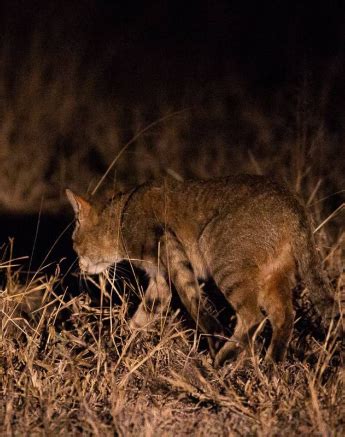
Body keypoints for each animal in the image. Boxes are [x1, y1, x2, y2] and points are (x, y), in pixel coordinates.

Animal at [65, 174, 336, 364]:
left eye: (74, 244)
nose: (79, 266)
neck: (123, 214)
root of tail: (293, 204)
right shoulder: (160, 279)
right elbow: (143, 314)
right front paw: (120, 345)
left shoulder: (169, 247)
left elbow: (192, 299)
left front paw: (213, 336)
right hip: (274, 276)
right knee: (285, 316)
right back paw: (271, 364)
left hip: (224, 260)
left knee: (253, 317)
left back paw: (226, 357)